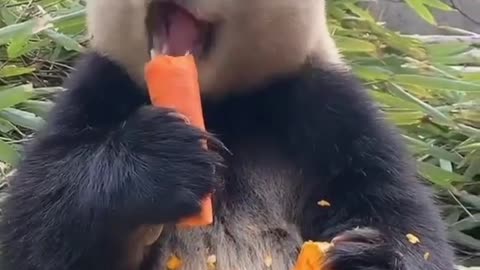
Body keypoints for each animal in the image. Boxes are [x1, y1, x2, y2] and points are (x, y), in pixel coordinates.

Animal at [0, 0, 458, 270]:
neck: (216, 104)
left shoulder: (328, 109)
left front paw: (364, 254)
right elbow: (35, 226)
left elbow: (404, 217)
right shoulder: (99, 91)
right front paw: (165, 160)